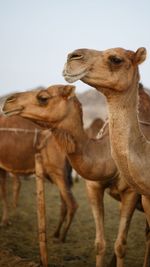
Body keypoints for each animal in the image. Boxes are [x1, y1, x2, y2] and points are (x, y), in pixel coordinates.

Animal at [2, 84, 150, 267]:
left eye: (43, 98)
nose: (8, 102)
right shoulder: (93, 187)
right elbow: (99, 244)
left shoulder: (131, 192)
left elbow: (121, 246)